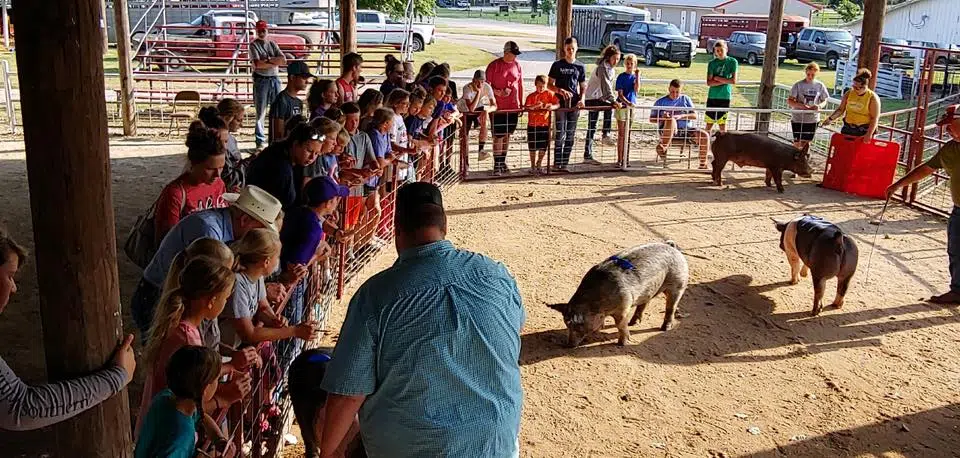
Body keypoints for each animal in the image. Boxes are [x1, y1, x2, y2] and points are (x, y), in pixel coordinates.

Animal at [544, 242, 688, 346]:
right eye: (566, 325)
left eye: (579, 325)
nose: (568, 345)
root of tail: (672, 247)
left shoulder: (623, 307)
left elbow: (620, 325)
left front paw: (622, 344)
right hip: (650, 290)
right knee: (644, 303)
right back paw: (634, 323)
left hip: (678, 284)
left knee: (671, 307)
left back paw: (664, 328)